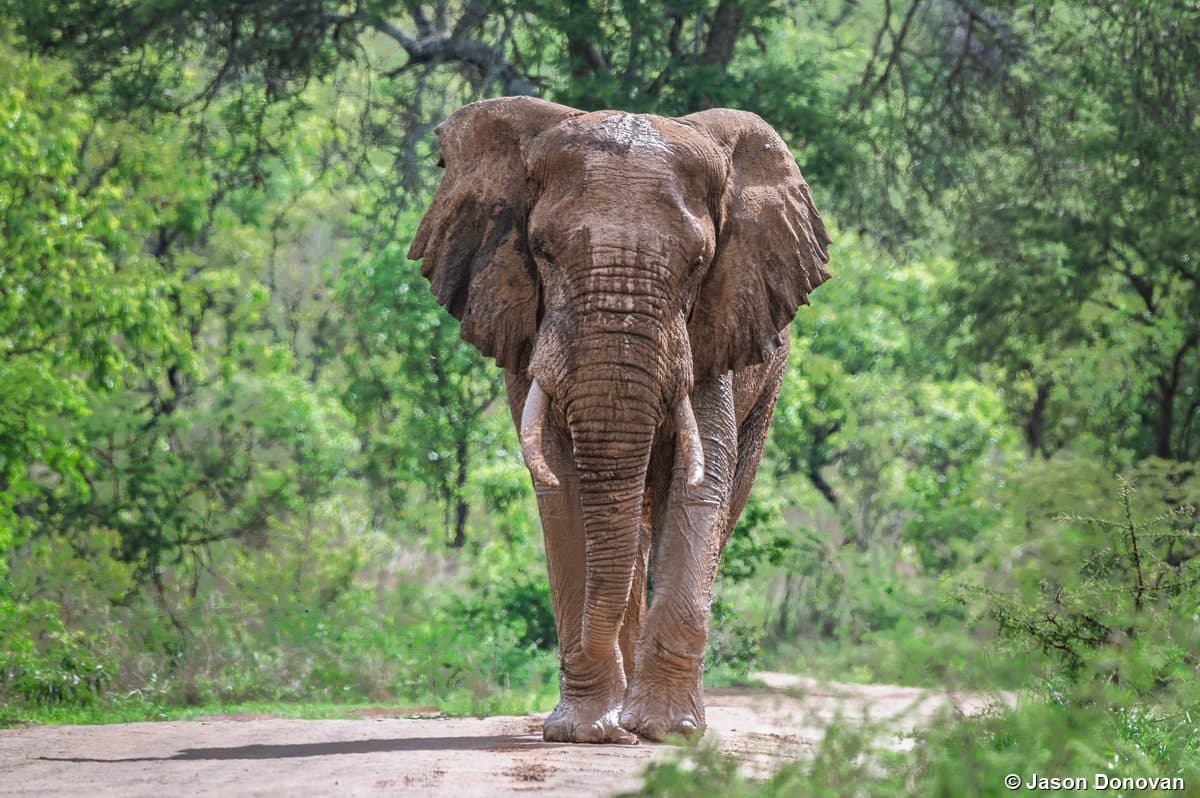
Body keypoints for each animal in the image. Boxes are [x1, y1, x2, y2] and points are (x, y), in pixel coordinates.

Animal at [408, 96, 831, 744]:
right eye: (543, 252)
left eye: (699, 264)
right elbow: (563, 489)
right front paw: (586, 731)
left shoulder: (715, 325)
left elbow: (702, 484)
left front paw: (667, 732)